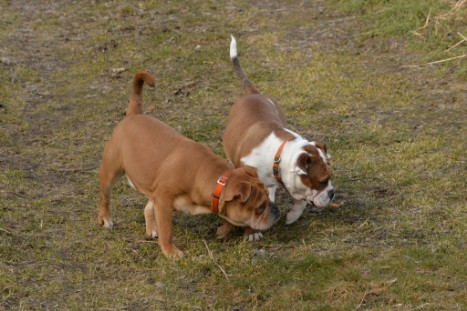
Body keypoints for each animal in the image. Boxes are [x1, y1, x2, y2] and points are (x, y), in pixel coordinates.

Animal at [98, 72, 280, 260]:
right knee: (105, 197)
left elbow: (227, 217)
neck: (215, 180)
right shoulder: (163, 202)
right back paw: (106, 219)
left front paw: (222, 230)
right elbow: (167, 231)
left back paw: (152, 228)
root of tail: (133, 114)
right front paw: (171, 252)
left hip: (153, 188)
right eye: (260, 208)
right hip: (111, 172)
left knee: (147, 206)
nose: (276, 209)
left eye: (269, 198)